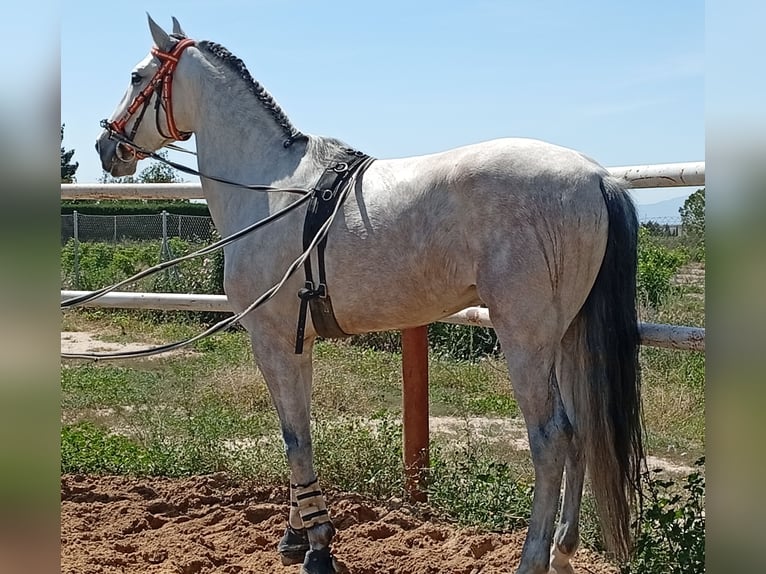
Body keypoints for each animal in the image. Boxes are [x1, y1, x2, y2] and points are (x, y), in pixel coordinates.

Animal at [95, 16, 644, 574]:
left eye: (137, 77)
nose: (106, 146)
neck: (269, 188)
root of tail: (596, 177)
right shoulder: (299, 343)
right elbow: (300, 430)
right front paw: (296, 536)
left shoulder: (271, 341)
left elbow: (293, 438)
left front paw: (318, 548)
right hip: (568, 335)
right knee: (581, 433)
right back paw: (563, 551)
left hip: (525, 339)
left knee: (552, 439)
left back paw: (533, 558)